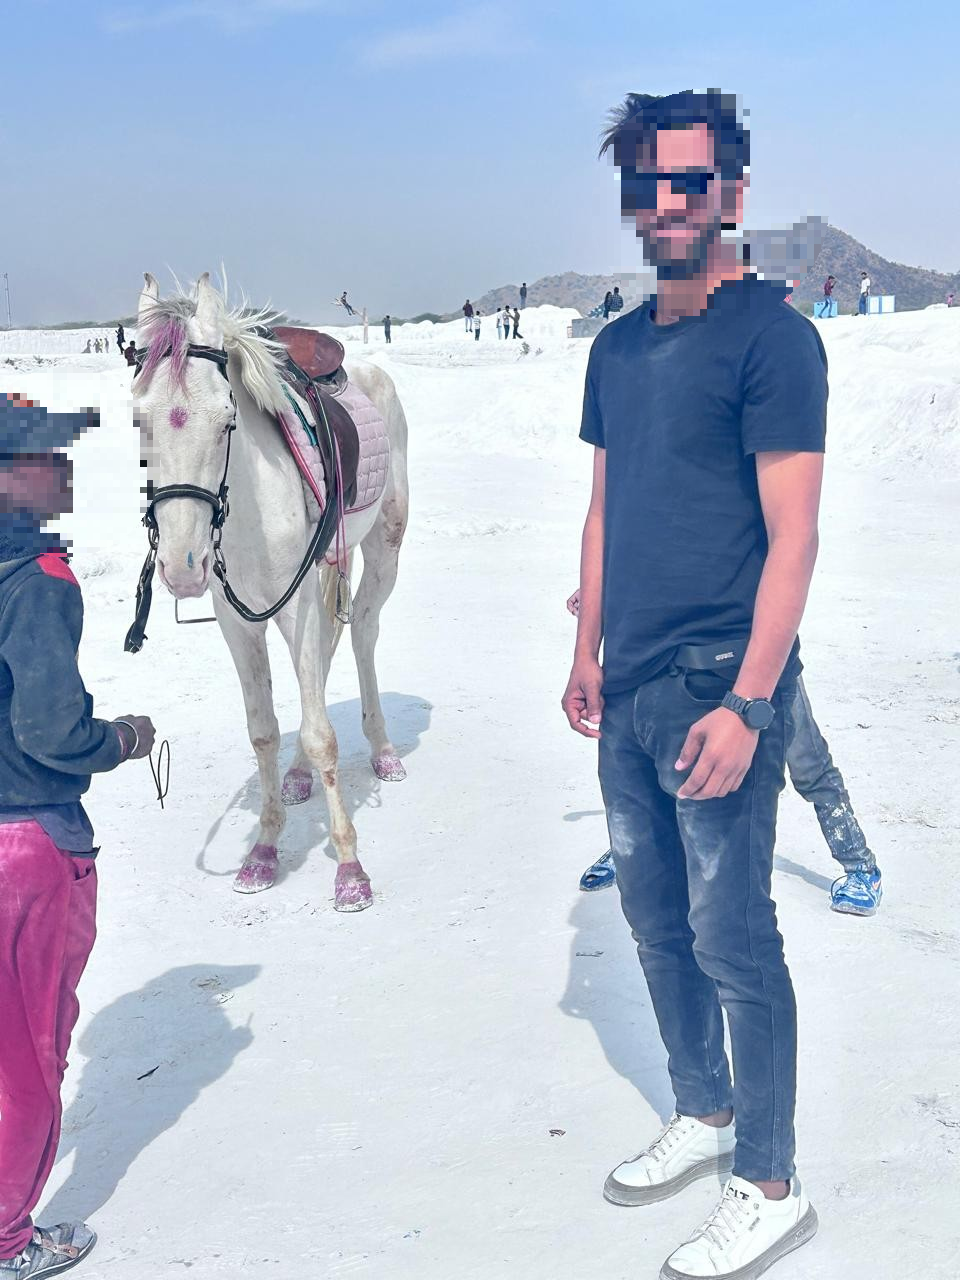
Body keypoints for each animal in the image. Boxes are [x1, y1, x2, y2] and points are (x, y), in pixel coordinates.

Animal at [131, 272, 409, 911]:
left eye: (227, 420)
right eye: (139, 421)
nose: (183, 566)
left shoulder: (297, 605)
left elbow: (320, 733)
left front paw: (350, 870)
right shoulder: (239, 621)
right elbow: (264, 732)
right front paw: (262, 850)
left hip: (384, 548)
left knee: (362, 634)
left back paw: (383, 751)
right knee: (328, 654)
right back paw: (300, 776)